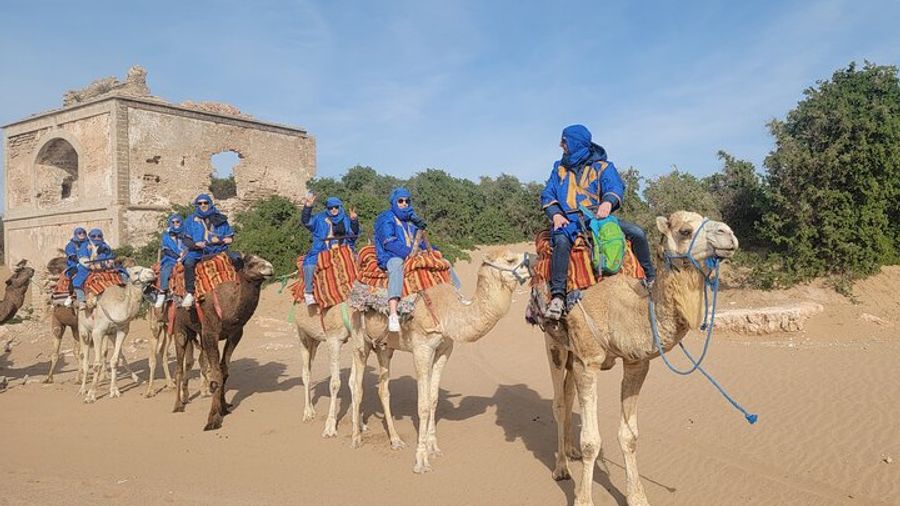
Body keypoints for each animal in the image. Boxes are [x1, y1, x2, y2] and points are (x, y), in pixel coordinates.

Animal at [78, 265, 157, 403]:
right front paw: (91, 395)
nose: (152, 273)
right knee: (86, 360)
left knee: (119, 356)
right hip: (83, 331)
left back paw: (137, 379)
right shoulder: (97, 332)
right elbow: (96, 364)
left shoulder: (121, 331)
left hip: (110, 335)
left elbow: (114, 360)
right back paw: (83, 390)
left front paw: (114, 390)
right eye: (136, 271)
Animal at [170, 253, 274, 431]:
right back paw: (177, 406)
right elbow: (216, 373)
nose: (269, 268)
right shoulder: (210, 333)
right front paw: (213, 419)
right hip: (180, 327)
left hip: (196, 331)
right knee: (179, 367)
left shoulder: (235, 334)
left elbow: (224, 370)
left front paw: (224, 408)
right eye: (250, 263)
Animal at [294, 301, 362, 438]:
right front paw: (330, 427)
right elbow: (335, 384)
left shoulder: (356, 338)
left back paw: (311, 409)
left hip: (314, 340)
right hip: (303, 334)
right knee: (306, 373)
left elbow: (353, 383)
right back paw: (308, 412)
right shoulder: (333, 339)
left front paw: (359, 423)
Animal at [350, 249, 532, 474]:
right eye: (510, 259)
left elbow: (433, 398)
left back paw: (395, 440)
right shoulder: (422, 349)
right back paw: (356, 438)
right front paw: (420, 461)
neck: (447, 314)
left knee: (383, 388)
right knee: (357, 385)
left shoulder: (445, 349)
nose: (534, 260)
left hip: (385, 346)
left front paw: (433, 448)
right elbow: (423, 404)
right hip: (360, 339)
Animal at [542, 211, 738, 506]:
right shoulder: (588, 360)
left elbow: (629, 436)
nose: (729, 234)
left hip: (572, 353)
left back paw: (570, 451)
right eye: (685, 231)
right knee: (559, 403)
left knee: (568, 393)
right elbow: (591, 441)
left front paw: (636, 496)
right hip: (554, 342)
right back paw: (561, 469)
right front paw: (583, 499)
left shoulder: (636, 363)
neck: (624, 311)